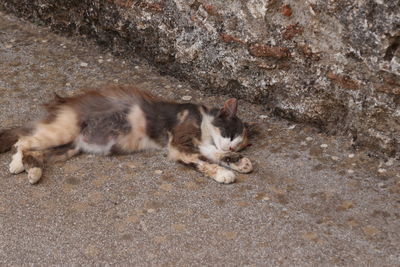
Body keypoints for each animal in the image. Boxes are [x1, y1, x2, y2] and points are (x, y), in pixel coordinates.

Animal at [0, 85, 253, 185]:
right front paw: (224, 174)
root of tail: (64, 104)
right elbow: (204, 161)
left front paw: (239, 162)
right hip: (62, 132)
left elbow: (214, 154)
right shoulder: (181, 144)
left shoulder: (197, 145)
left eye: (239, 144)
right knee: (24, 141)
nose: (233, 147)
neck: (202, 122)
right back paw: (17, 165)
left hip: (67, 148)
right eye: (230, 133)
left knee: (33, 152)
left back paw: (31, 171)